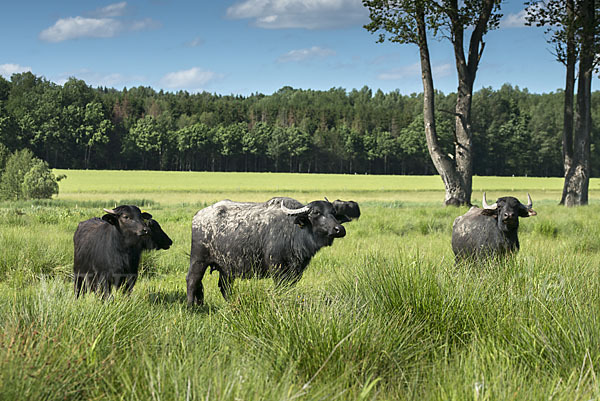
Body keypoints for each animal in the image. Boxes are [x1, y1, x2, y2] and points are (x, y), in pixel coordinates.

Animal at [185, 196, 358, 304]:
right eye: (316, 212)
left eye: (334, 213)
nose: (339, 229)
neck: (294, 231)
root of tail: (198, 216)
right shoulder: (278, 269)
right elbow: (280, 289)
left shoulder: (295, 272)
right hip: (198, 259)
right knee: (192, 280)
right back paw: (191, 306)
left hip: (226, 268)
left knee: (224, 287)